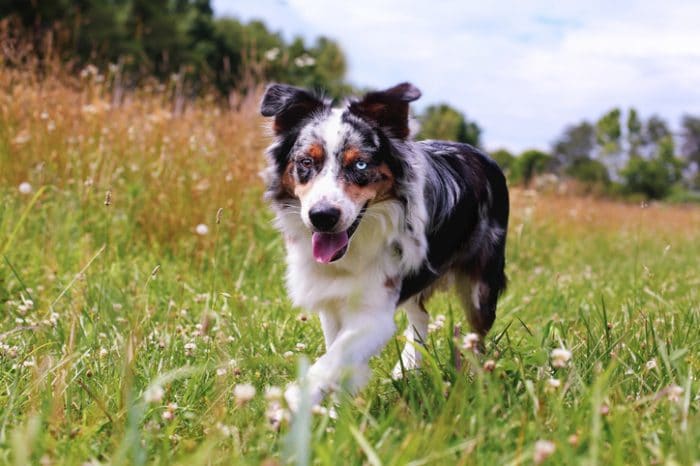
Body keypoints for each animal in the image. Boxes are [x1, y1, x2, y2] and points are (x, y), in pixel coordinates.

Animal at [260, 82, 506, 410]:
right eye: (306, 163)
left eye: (360, 164)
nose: (322, 216)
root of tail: (480, 153)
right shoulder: (332, 299)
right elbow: (337, 356)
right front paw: (338, 410)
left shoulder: (374, 312)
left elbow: (331, 360)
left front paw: (292, 404)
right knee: (421, 315)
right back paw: (409, 366)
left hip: (482, 286)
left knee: (478, 335)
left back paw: (474, 381)